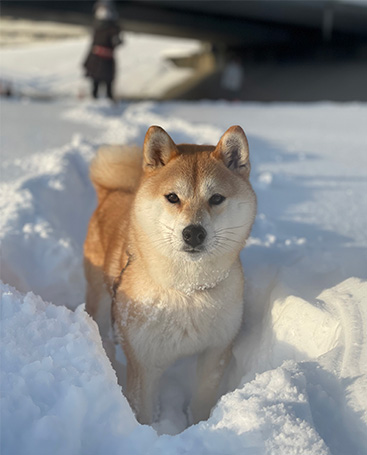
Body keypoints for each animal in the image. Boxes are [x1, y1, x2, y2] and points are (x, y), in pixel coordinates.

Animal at [83, 124, 258, 424]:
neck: (187, 291)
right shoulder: (143, 363)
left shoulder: (216, 352)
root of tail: (112, 191)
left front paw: (198, 426)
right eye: (173, 197)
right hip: (101, 299)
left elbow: (201, 402)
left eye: (216, 198)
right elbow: (143, 411)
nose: (193, 233)